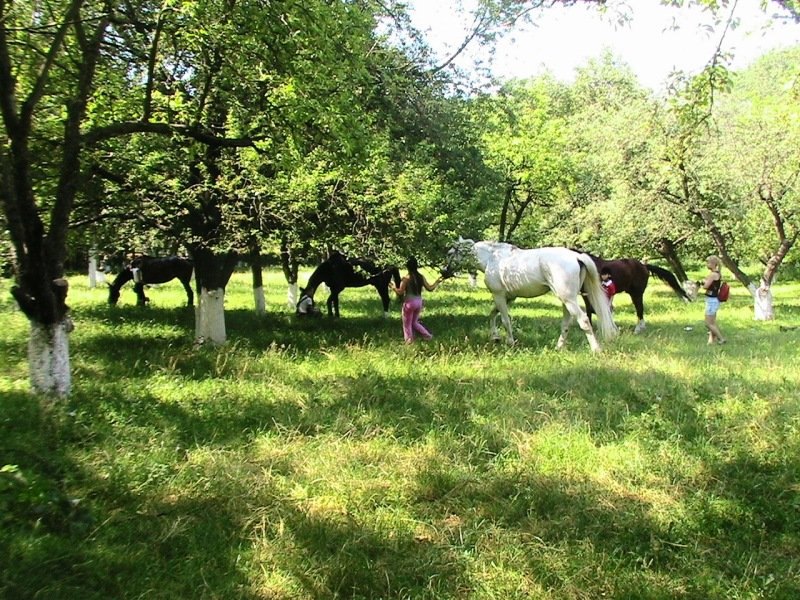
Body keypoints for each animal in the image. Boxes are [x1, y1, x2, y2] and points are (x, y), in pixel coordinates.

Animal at [444, 239, 620, 352]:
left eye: (451, 253)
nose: (444, 272)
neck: (492, 259)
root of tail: (576, 256)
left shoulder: (499, 295)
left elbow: (505, 319)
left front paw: (510, 342)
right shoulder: (508, 297)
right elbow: (493, 314)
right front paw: (495, 337)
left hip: (568, 299)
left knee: (583, 320)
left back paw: (596, 349)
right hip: (566, 300)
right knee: (566, 323)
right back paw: (559, 347)